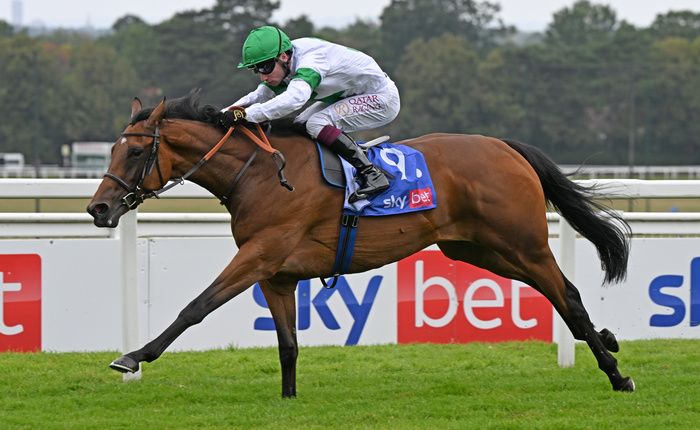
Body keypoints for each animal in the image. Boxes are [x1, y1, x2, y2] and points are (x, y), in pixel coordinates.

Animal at [86, 90, 636, 396]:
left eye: (134, 151)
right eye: (110, 148)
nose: (99, 209)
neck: (261, 174)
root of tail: (506, 146)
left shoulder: (259, 254)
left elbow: (196, 307)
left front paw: (133, 356)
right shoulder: (278, 275)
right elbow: (288, 345)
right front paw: (288, 399)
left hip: (523, 243)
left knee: (567, 295)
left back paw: (616, 374)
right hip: (478, 249)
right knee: (557, 294)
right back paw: (608, 340)